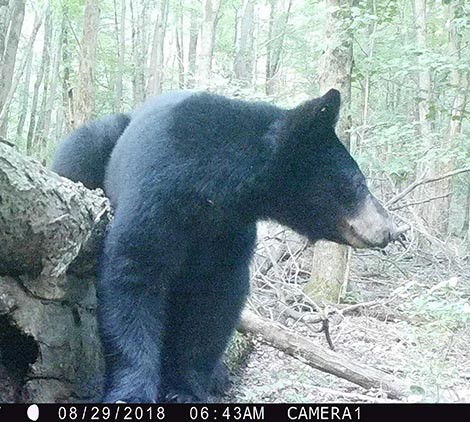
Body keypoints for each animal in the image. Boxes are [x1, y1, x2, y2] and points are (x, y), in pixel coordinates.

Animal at [51, 89, 398, 402]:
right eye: (359, 182)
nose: (391, 229)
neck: (216, 192)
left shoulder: (228, 230)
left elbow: (215, 301)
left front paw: (185, 389)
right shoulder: (158, 196)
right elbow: (133, 274)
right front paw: (131, 393)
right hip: (99, 144)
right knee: (82, 150)